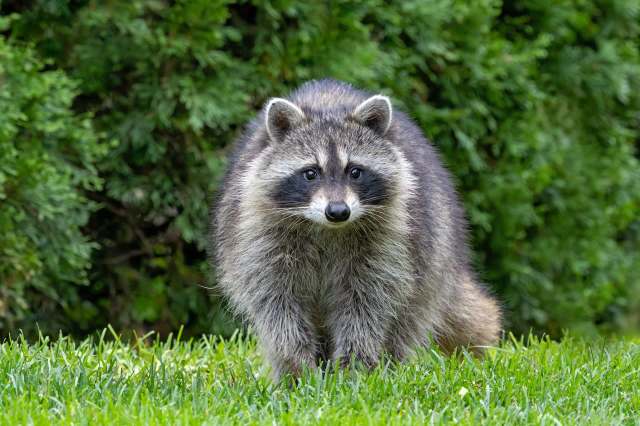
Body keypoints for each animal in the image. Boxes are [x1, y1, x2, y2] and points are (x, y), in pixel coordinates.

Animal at [210, 79, 501, 380]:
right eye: (310, 173)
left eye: (355, 172)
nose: (338, 211)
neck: (327, 228)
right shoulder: (260, 233)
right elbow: (277, 305)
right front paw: (297, 368)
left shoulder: (391, 240)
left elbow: (368, 304)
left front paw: (354, 369)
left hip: (433, 256)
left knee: (406, 319)